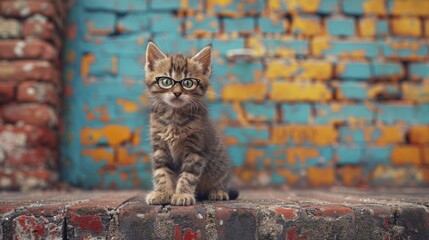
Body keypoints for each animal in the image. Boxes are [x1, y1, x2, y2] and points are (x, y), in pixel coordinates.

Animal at [144, 41, 237, 206]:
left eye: (188, 83)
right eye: (166, 81)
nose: (177, 93)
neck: (174, 117)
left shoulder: (196, 149)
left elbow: (188, 175)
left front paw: (182, 195)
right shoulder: (160, 147)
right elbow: (161, 172)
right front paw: (162, 193)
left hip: (221, 166)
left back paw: (218, 192)